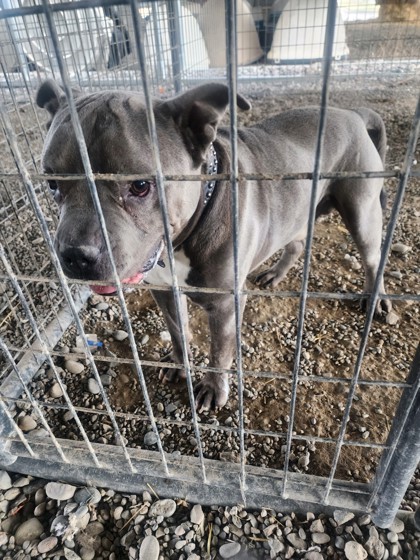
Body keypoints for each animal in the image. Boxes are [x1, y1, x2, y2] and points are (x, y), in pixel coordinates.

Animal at [36, 79, 390, 410]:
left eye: (140, 186)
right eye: (52, 183)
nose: (75, 255)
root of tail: (353, 113)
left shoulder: (224, 305)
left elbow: (220, 352)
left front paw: (213, 388)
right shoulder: (164, 291)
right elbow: (178, 331)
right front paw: (179, 364)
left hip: (362, 213)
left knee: (373, 258)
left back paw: (377, 300)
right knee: (296, 243)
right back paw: (275, 274)